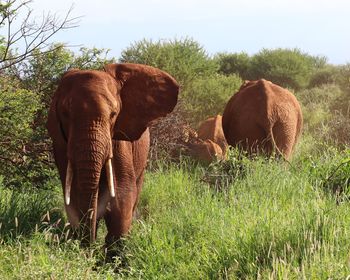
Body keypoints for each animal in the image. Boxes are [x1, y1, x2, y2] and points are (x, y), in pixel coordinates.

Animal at [47, 62, 178, 246]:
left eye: (114, 114)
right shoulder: (60, 144)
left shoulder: (118, 141)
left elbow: (122, 193)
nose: (90, 245)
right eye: (65, 113)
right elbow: (73, 193)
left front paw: (114, 248)